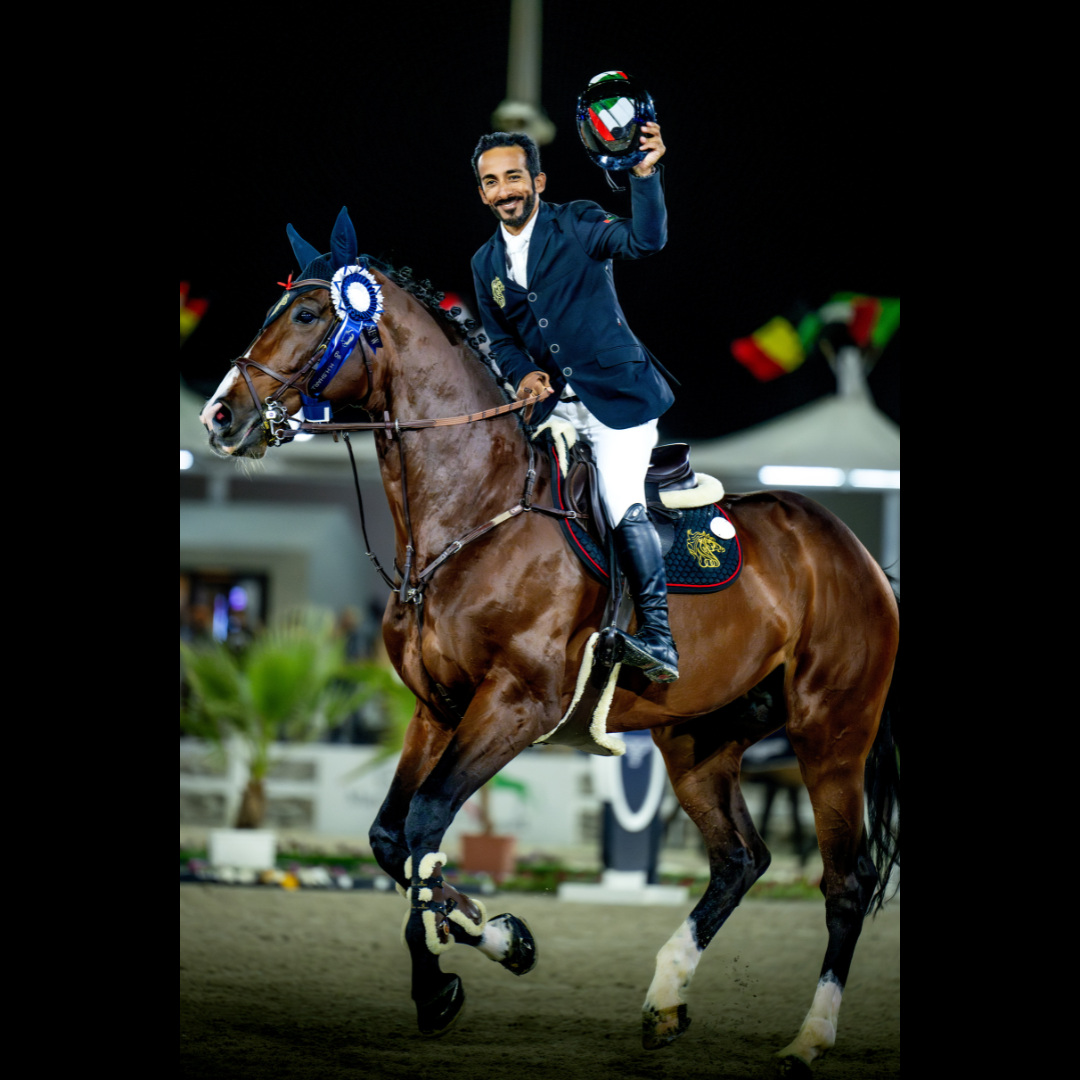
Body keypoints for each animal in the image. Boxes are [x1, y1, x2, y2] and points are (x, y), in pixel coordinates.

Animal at [199, 209, 899, 1076]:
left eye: (304, 314)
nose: (218, 418)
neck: (472, 510)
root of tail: (855, 550)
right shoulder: (437, 708)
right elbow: (394, 840)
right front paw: (495, 938)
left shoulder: (516, 705)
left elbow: (426, 827)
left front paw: (448, 975)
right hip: (700, 740)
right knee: (742, 860)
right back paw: (667, 996)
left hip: (830, 735)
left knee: (844, 882)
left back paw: (808, 1039)